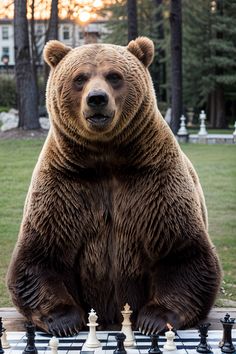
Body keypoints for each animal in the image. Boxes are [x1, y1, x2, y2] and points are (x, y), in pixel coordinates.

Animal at [7, 36, 221, 338]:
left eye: (114, 76)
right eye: (80, 78)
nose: (97, 99)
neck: (106, 157)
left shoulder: (155, 180)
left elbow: (182, 252)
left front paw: (154, 318)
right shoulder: (64, 184)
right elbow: (41, 255)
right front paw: (63, 320)